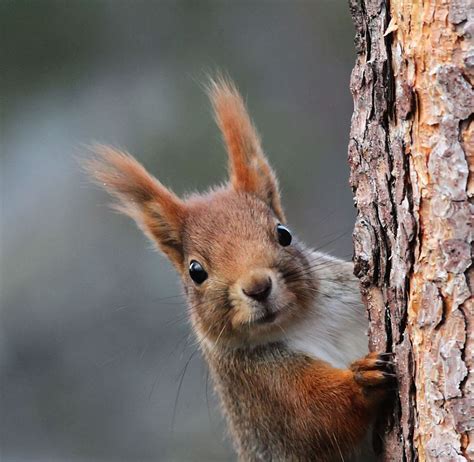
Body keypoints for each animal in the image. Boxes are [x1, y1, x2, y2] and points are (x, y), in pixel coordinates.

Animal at [85, 77, 392, 460]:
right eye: (196, 271)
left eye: (283, 234)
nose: (258, 286)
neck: (308, 320)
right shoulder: (263, 389)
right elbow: (318, 417)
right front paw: (363, 379)